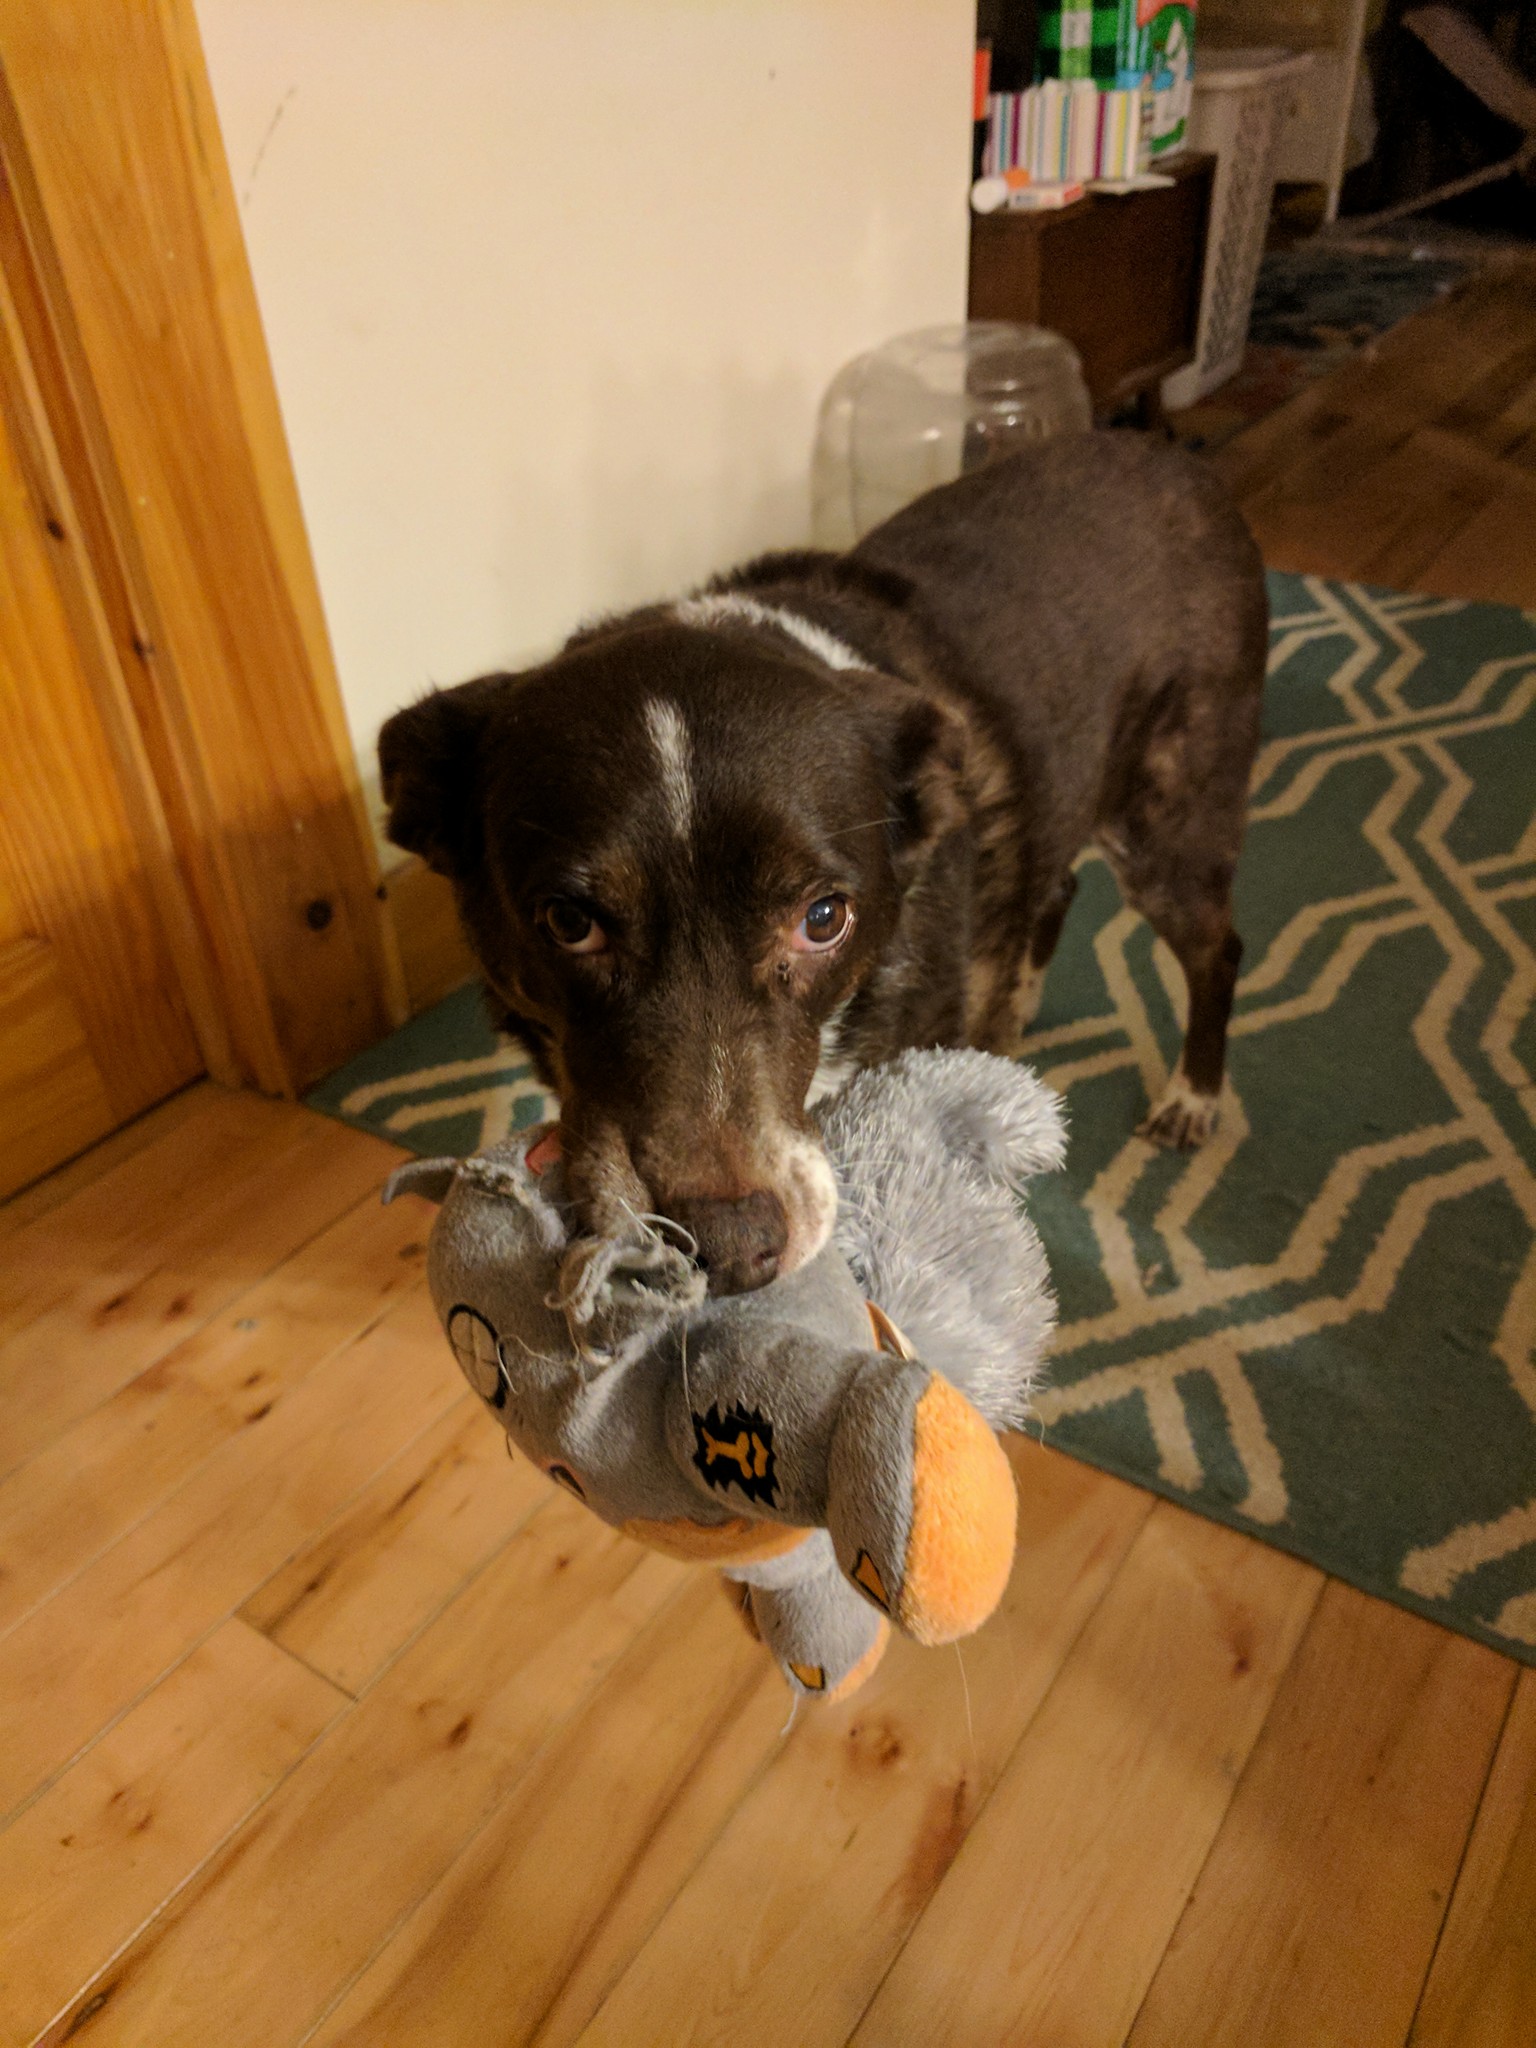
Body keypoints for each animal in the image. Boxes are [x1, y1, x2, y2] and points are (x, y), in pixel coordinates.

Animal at [378, 434, 1269, 1294]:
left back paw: (1191, 1096)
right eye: (569, 922)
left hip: (1168, 822)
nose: (726, 1249)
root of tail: (1184, 464)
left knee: (1217, 947)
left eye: (823, 918)